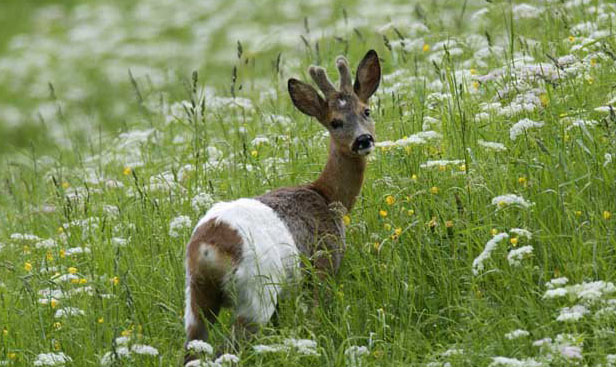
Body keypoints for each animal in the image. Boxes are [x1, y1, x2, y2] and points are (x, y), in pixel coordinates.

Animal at [184, 50, 380, 364]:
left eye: (366, 111)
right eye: (335, 122)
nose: (363, 139)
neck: (328, 197)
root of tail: (207, 249)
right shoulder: (323, 264)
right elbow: (316, 314)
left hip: (195, 297)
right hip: (257, 293)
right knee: (229, 348)